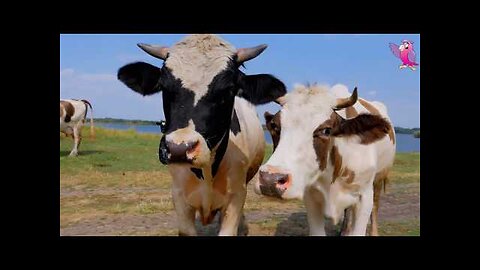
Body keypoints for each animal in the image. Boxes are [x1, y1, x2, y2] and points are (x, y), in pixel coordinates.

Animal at [256, 84, 396, 236]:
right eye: (275, 126)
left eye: (326, 130)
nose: (270, 179)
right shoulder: (310, 197)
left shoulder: (364, 196)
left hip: (379, 178)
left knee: (375, 205)